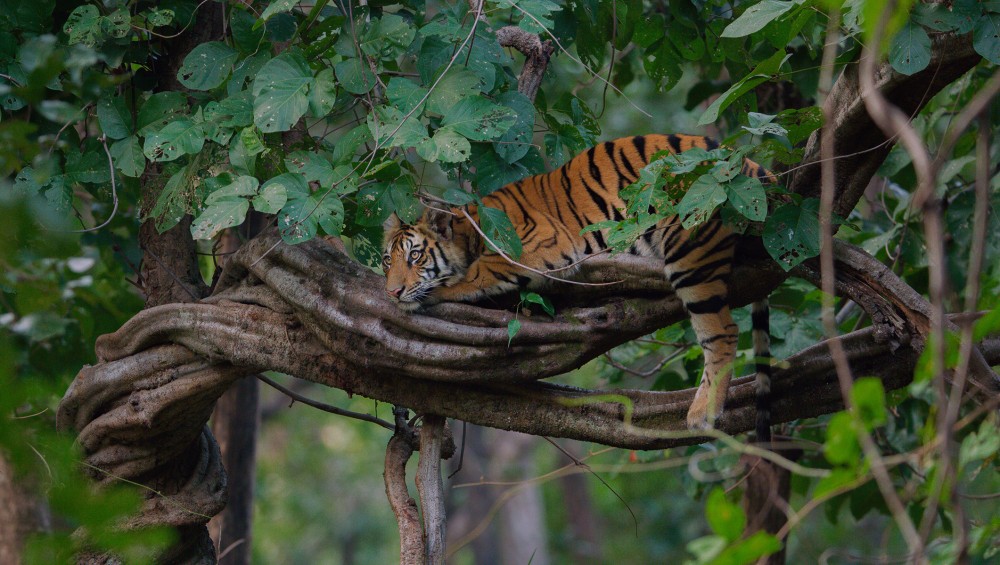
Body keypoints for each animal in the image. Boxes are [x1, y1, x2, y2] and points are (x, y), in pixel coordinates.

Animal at [382, 134, 774, 438]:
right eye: (388, 260)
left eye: (415, 256)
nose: (392, 292)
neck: (471, 232)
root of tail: (750, 164)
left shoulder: (537, 243)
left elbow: (477, 273)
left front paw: (437, 291)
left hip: (690, 251)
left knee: (722, 331)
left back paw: (702, 414)